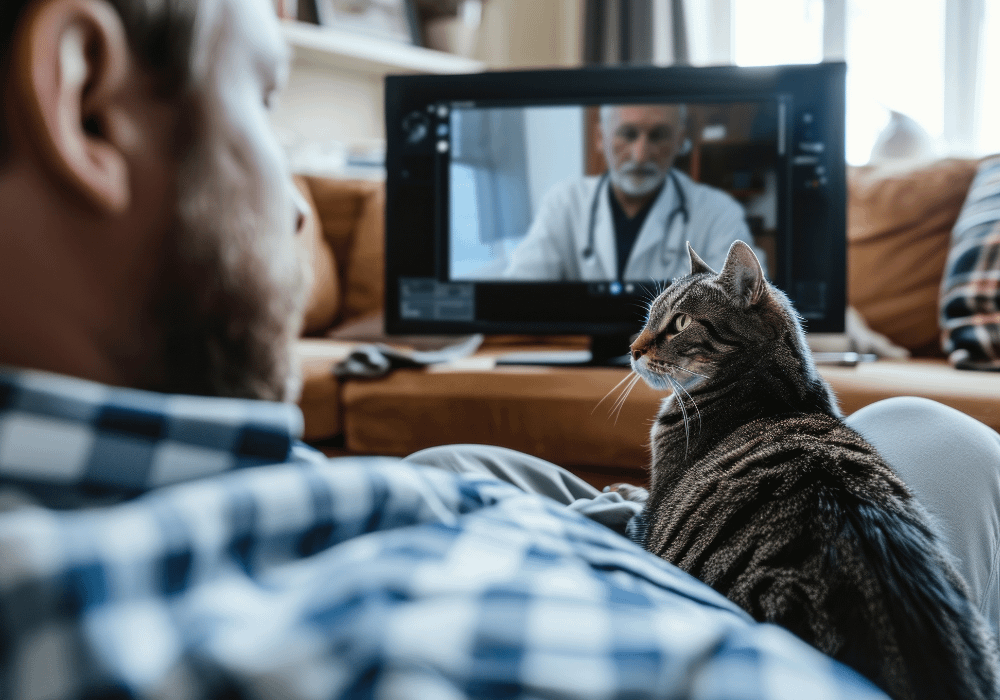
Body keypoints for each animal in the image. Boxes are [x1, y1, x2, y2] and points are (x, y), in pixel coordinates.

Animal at [620, 242, 996, 700]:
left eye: (679, 323)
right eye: (649, 317)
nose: (633, 349)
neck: (775, 390)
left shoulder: (648, 519)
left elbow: (637, 503)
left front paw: (621, 490)